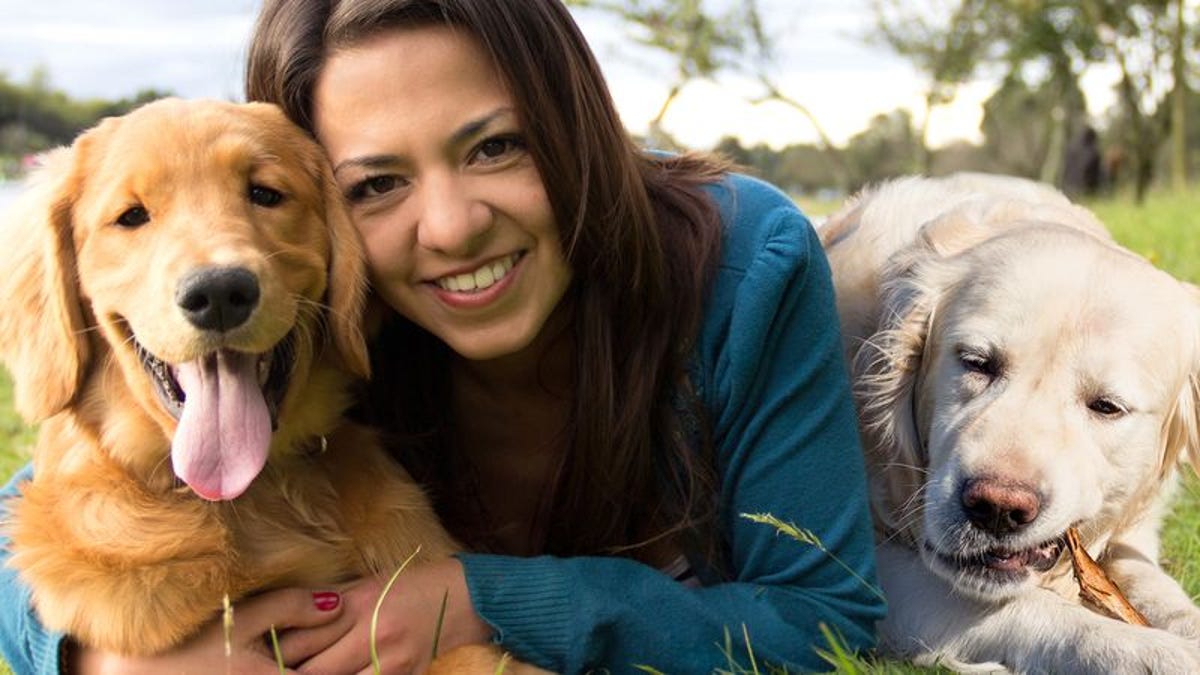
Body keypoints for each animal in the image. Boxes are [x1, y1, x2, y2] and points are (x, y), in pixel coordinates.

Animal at [820, 174, 1200, 672]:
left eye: (1106, 406)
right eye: (976, 362)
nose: (997, 507)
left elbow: (1156, 588)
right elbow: (1036, 610)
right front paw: (1154, 651)